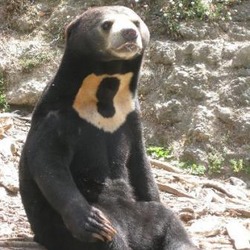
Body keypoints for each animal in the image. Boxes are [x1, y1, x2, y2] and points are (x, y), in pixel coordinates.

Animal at [19, 5, 197, 250]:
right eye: (106, 24)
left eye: (136, 22)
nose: (130, 33)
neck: (106, 86)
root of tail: (136, 236)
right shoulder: (56, 116)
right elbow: (49, 162)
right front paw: (90, 221)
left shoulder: (131, 117)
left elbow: (141, 164)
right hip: (62, 230)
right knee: (109, 238)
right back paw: (103, 228)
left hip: (144, 213)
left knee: (170, 222)